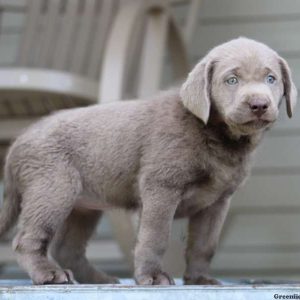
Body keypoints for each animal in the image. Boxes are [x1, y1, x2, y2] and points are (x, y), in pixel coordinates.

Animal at [0, 38, 296, 286]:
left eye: (271, 78)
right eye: (231, 80)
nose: (259, 104)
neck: (217, 136)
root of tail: (19, 140)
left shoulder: (216, 202)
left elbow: (204, 245)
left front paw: (200, 279)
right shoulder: (161, 187)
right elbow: (156, 236)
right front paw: (153, 277)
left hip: (84, 206)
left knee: (67, 247)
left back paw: (98, 279)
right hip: (54, 188)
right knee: (26, 240)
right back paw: (48, 274)